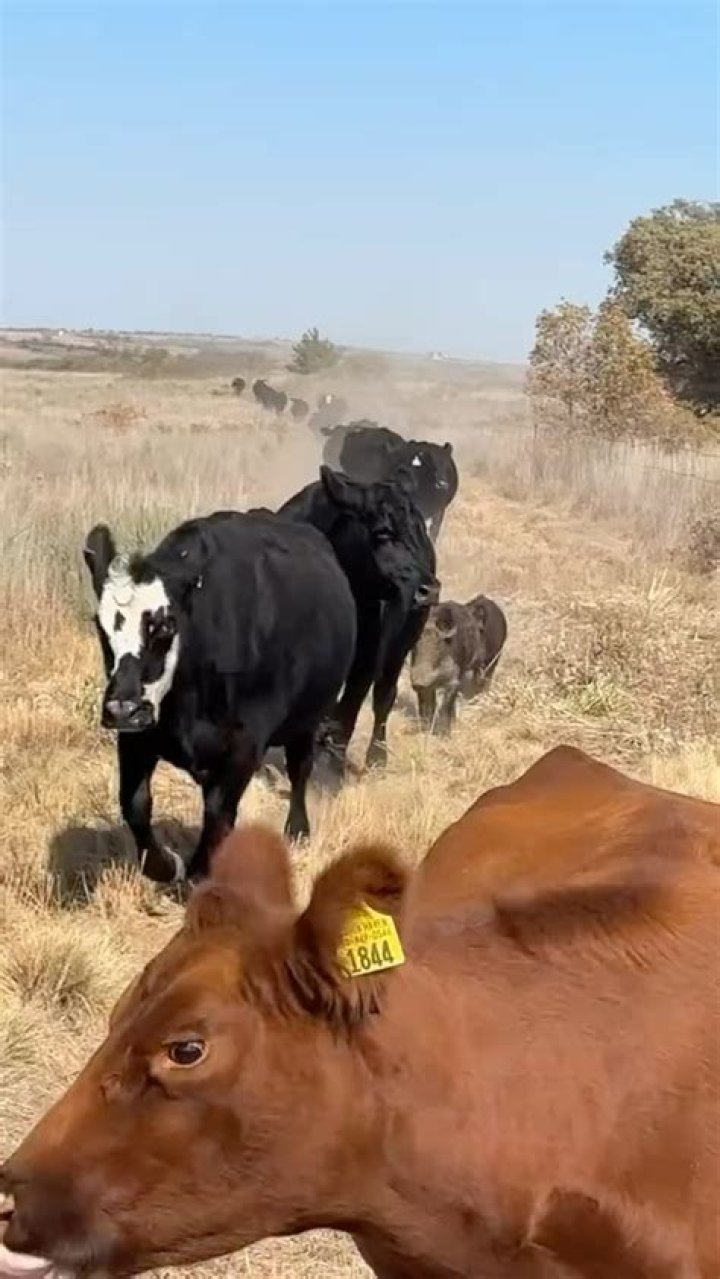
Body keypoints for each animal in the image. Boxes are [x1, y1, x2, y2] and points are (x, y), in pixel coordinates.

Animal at [80, 510, 356, 882]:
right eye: (101, 625)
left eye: (165, 625)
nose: (123, 709)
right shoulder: (139, 735)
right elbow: (134, 804)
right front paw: (168, 865)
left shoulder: (245, 743)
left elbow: (218, 810)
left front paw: (201, 872)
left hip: (307, 719)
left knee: (300, 769)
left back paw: (298, 829)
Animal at [279, 466, 438, 769]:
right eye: (384, 533)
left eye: (420, 529)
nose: (430, 590)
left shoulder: (367, 656)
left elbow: (350, 707)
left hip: (400, 646)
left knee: (383, 696)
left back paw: (375, 754)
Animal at [410, 594, 507, 734]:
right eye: (413, 645)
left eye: (438, 644)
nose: (419, 681)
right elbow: (427, 706)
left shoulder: (454, 681)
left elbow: (446, 706)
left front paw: (445, 732)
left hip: (494, 660)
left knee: (486, 681)